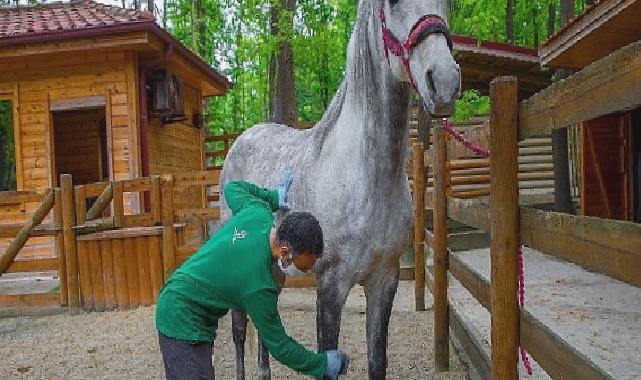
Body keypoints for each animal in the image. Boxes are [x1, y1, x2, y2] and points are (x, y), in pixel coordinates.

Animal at [220, 0, 460, 380]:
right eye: (392, 4)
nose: (445, 81)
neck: (364, 179)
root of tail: (242, 139)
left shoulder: (384, 281)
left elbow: (377, 361)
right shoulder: (331, 285)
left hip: (273, 269)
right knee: (240, 328)